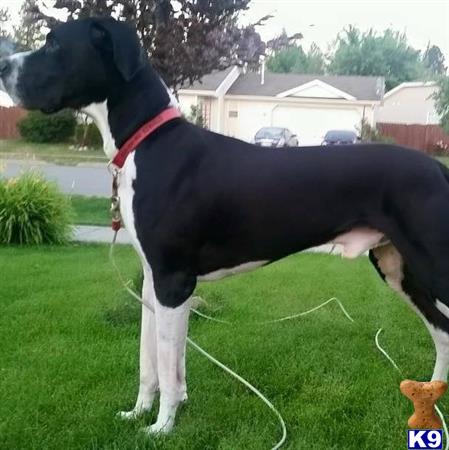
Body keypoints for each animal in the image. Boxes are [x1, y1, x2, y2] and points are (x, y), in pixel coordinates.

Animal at [2, 17, 448, 436]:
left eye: (54, 43)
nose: (4, 65)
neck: (148, 142)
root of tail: (439, 169)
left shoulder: (173, 280)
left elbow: (166, 363)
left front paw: (161, 427)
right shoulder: (152, 280)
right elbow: (153, 361)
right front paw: (142, 412)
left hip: (432, 265)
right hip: (398, 268)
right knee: (443, 331)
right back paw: (430, 398)